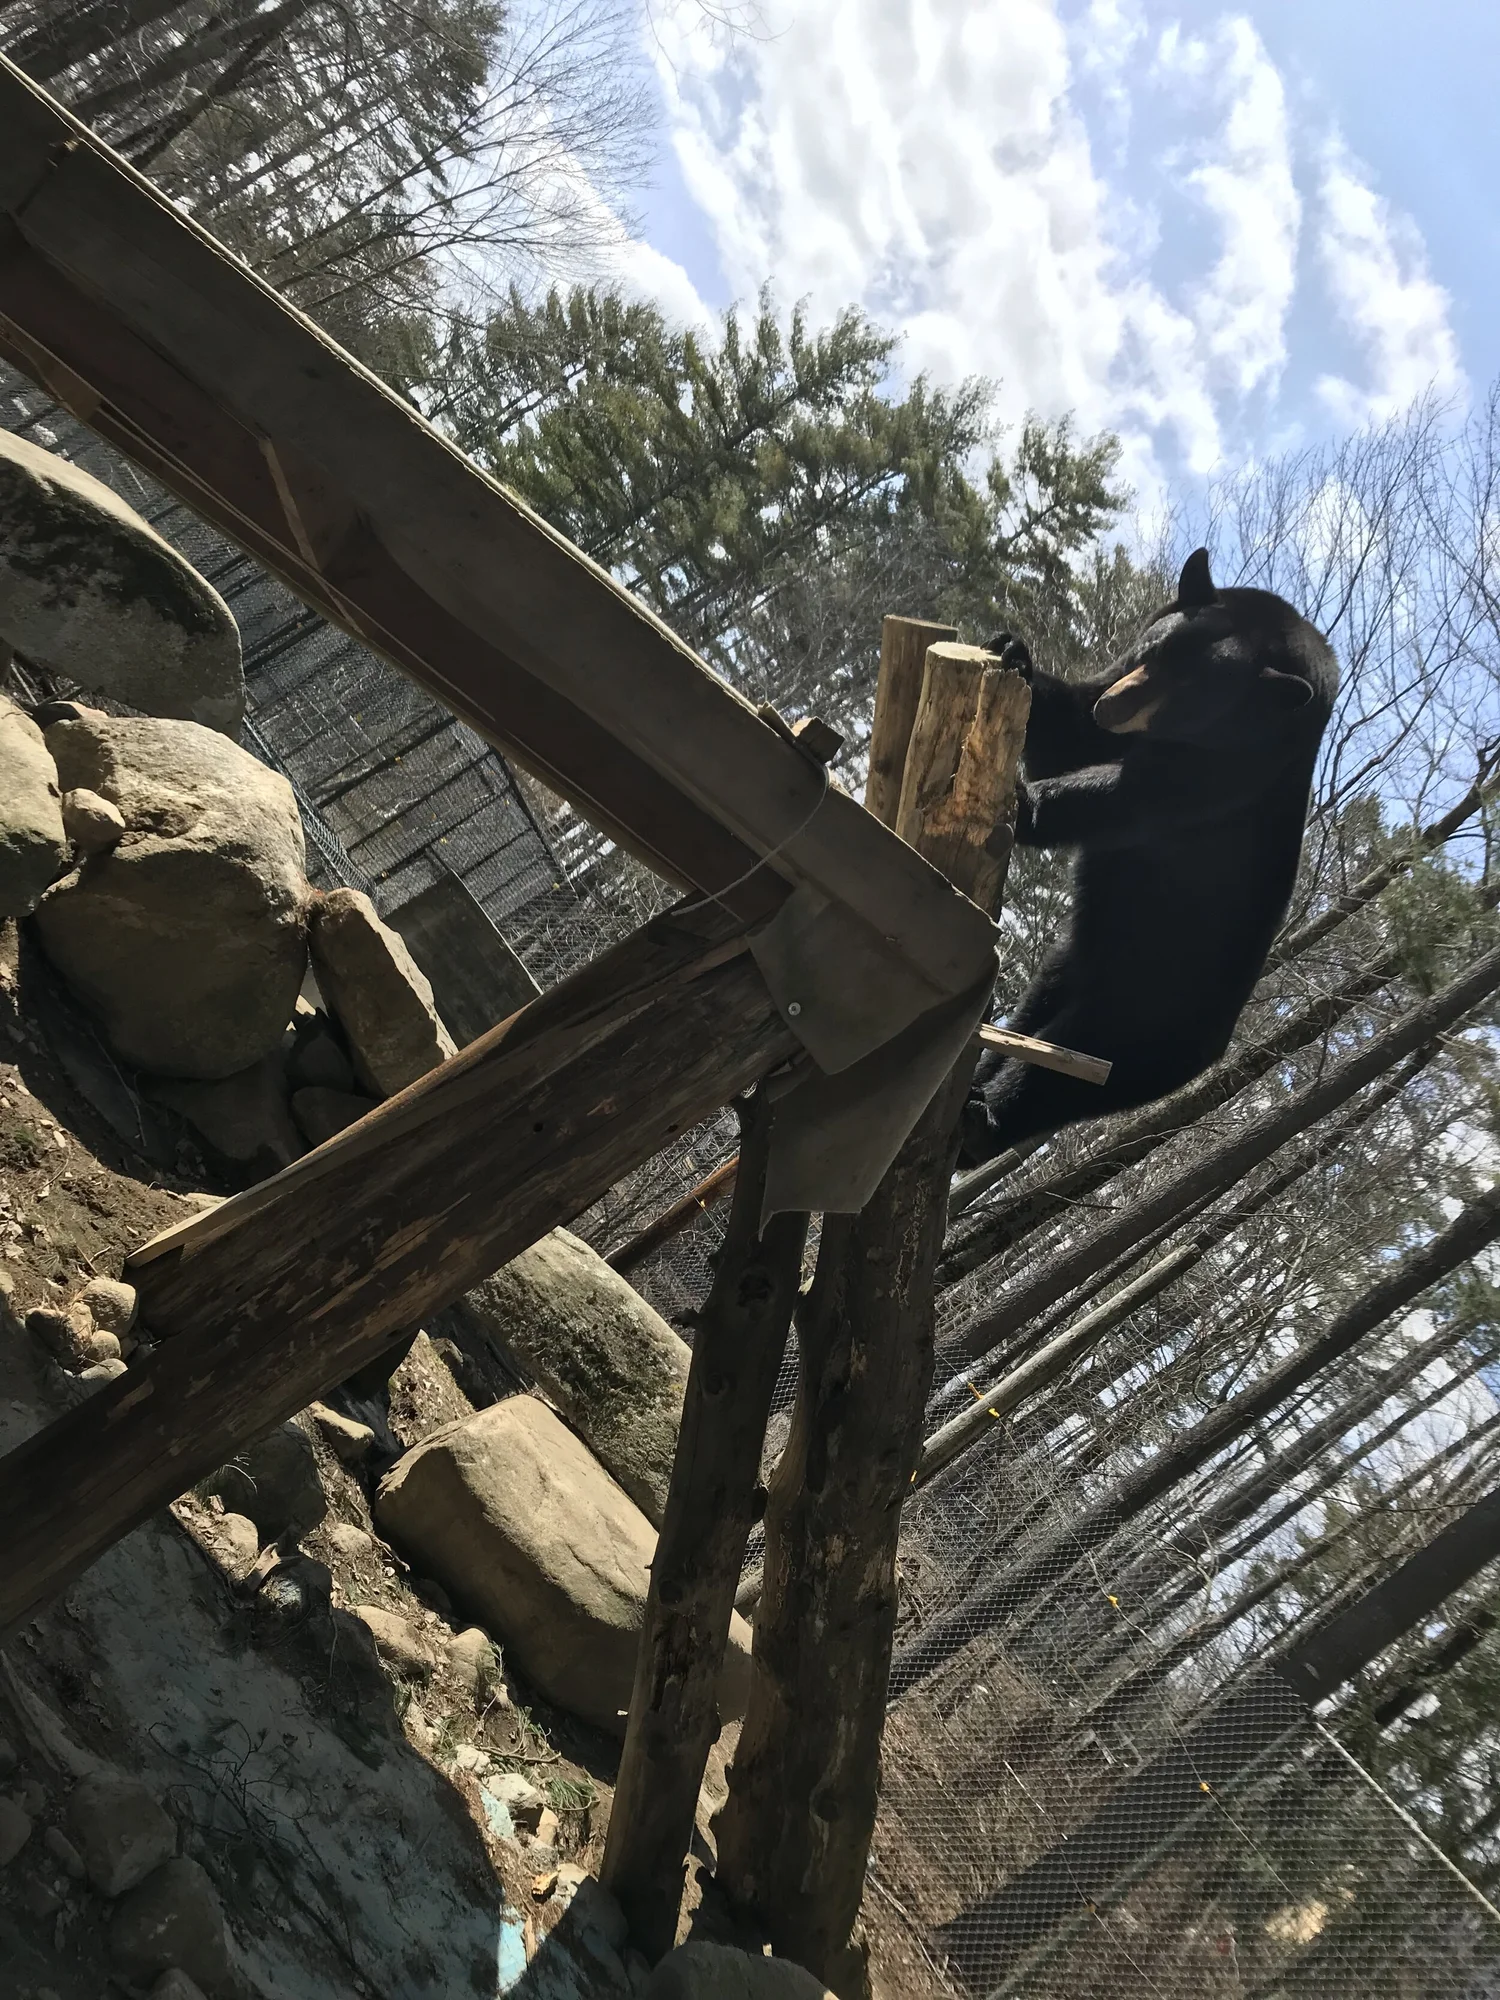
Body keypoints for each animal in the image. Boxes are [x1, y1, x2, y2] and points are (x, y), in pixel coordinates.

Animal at [958, 548, 1338, 1169]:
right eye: (1154, 652)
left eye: (1188, 697)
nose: (1113, 708)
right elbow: (1071, 735)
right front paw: (1014, 654)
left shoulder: (1242, 770)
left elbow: (1128, 794)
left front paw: (1026, 803)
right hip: (1075, 964)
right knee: (1034, 1017)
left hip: (1150, 1022)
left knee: (1074, 1069)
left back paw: (982, 1125)